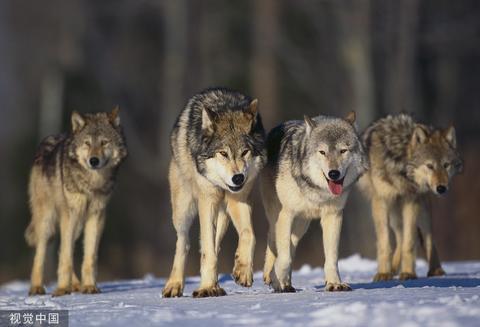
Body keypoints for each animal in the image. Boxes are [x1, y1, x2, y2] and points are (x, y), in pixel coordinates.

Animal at [25, 109, 127, 298]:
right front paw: (61, 289)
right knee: (42, 253)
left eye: (104, 142)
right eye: (87, 143)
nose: (93, 160)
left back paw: (76, 285)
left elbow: (89, 256)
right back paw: (36, 288)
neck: (92, 183)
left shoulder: (96, 215)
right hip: (48, 221)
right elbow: (65, 257)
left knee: (65, 248)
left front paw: (89, 286)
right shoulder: (70, 214)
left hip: (78, 224)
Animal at [161, 88, 266, 298]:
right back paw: (175, 285)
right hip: (183, 210)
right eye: (223, 153)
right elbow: (207, 251)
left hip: (224, 212)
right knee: (184, 242)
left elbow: (249, 234)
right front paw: (207, 287)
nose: (238, 178)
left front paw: (242, 270)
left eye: (245, 152)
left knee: (214, 244)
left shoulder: (238, 199)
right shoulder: (207, 201)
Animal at [258, 111, 368, 294]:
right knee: (273, 241)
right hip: (277, 216)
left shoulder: (333, 216)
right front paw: (277, 280)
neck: (317, 190)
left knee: (291, 245)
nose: (333, 173)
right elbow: (284, 256)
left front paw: (334, 283)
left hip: (302, 225)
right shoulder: (286, 214)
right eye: (322, 152)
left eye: (343, 150)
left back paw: (286, 283)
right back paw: (271, 277)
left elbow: (331, 257)